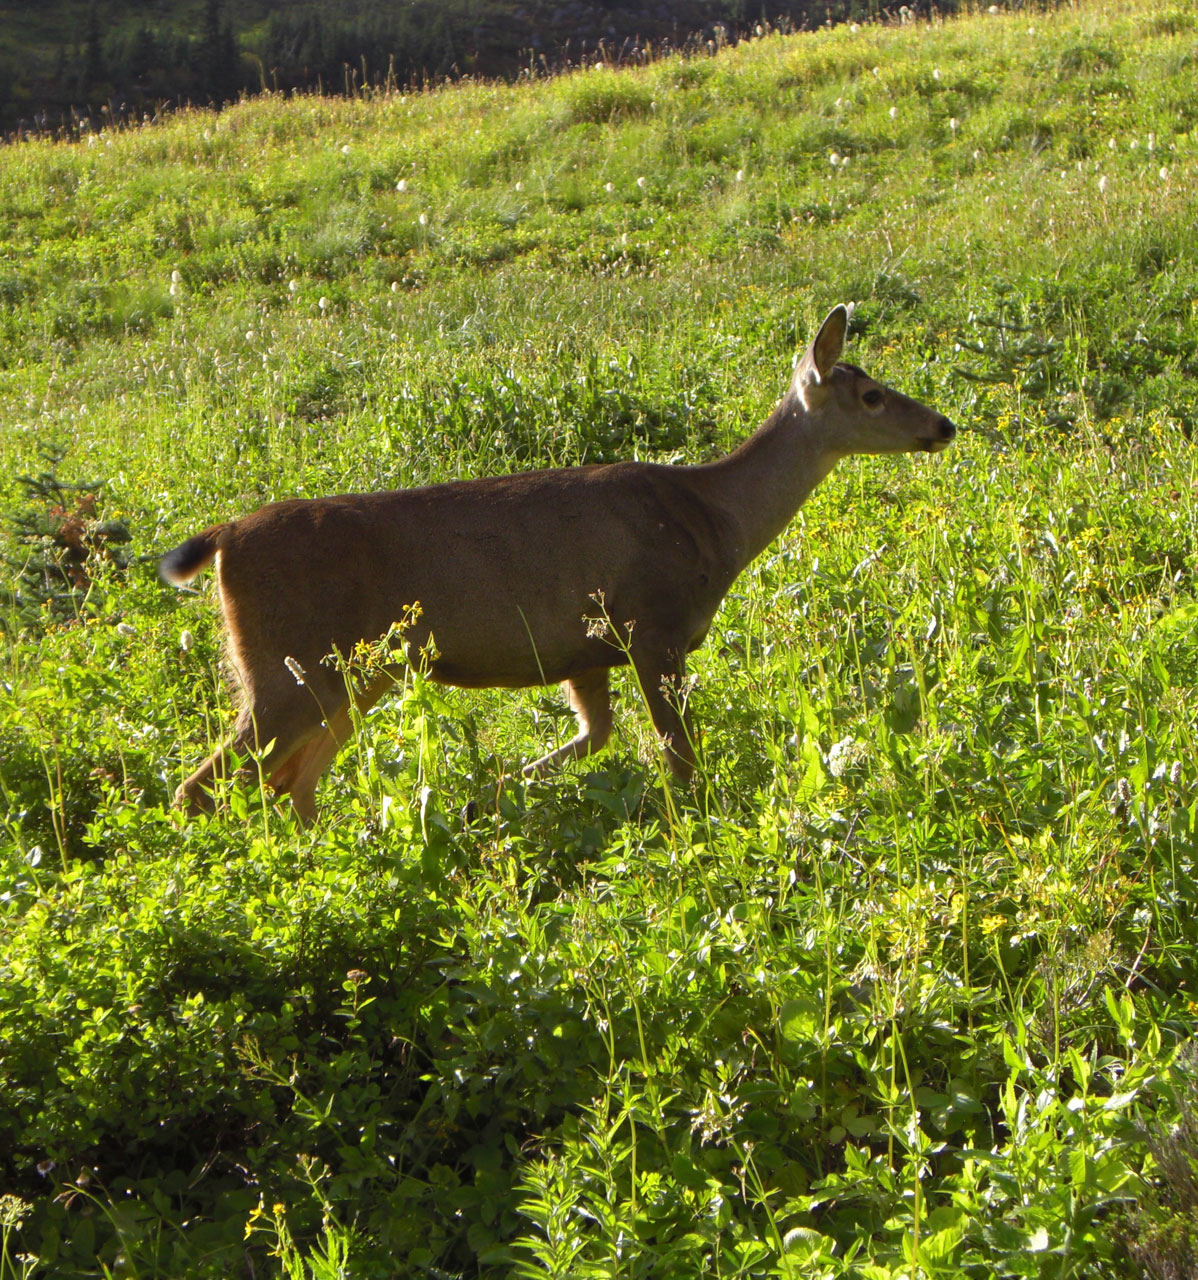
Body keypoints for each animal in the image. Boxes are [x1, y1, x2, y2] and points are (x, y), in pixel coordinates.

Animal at [159, 304, 952, 814]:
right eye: (872, 395)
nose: (943, 425)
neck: (710, 521)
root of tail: (224, 537)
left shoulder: (582, 654)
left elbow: (593, 738)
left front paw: (487, 796)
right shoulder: (650, 626)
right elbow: (680, 758)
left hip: (354, 674)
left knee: (289, 782)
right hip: (292, 666)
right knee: (201, 785)